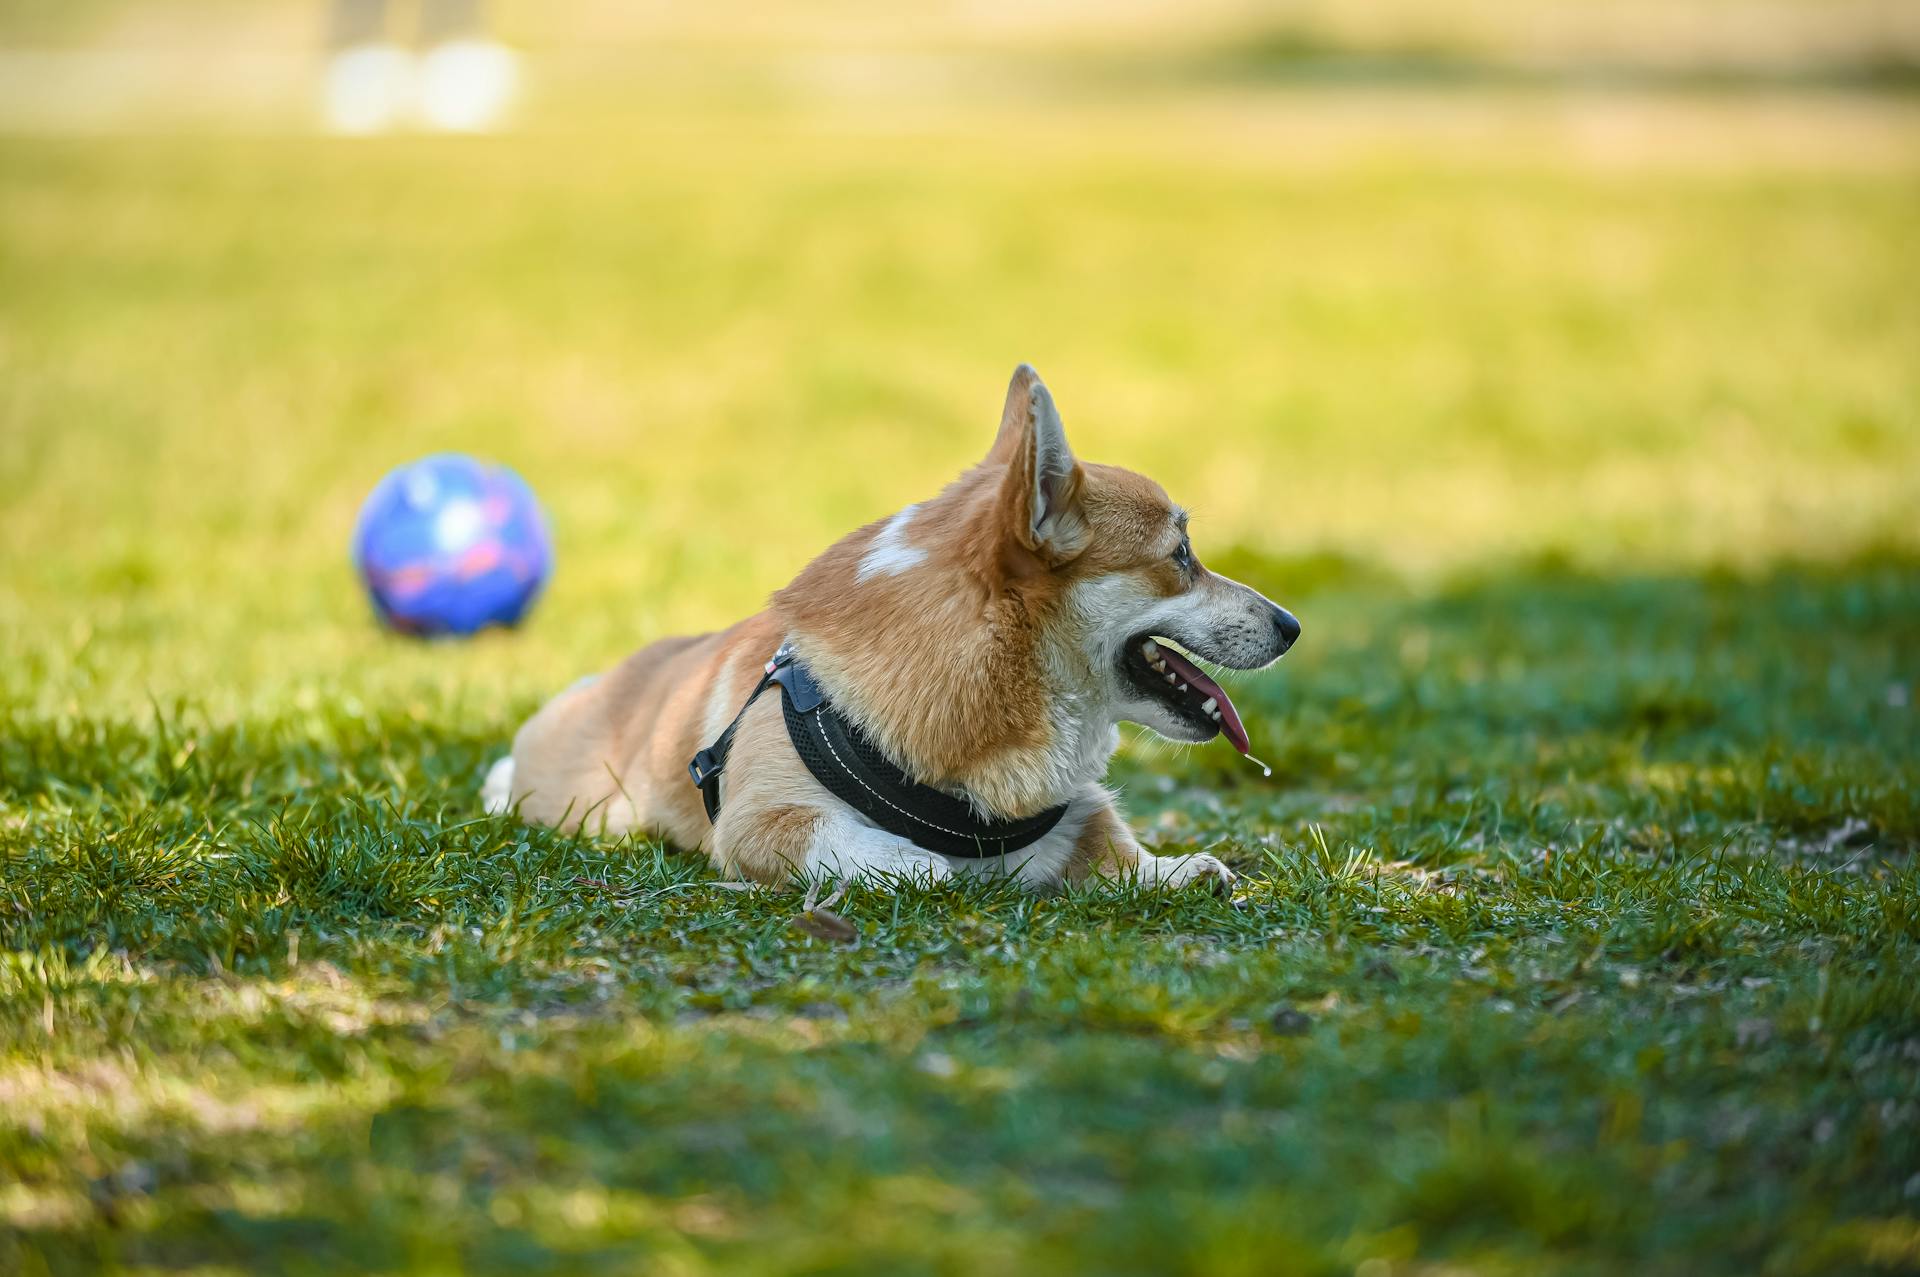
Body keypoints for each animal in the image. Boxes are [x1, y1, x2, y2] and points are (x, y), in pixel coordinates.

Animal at [487, 362, 1305, 891]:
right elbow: (886, 853)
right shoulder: (761, 821)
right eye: (1182, 554)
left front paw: (1177, 868)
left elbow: (1110, 839)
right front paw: (933, 865)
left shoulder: (1078, 808)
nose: (1293, 625)